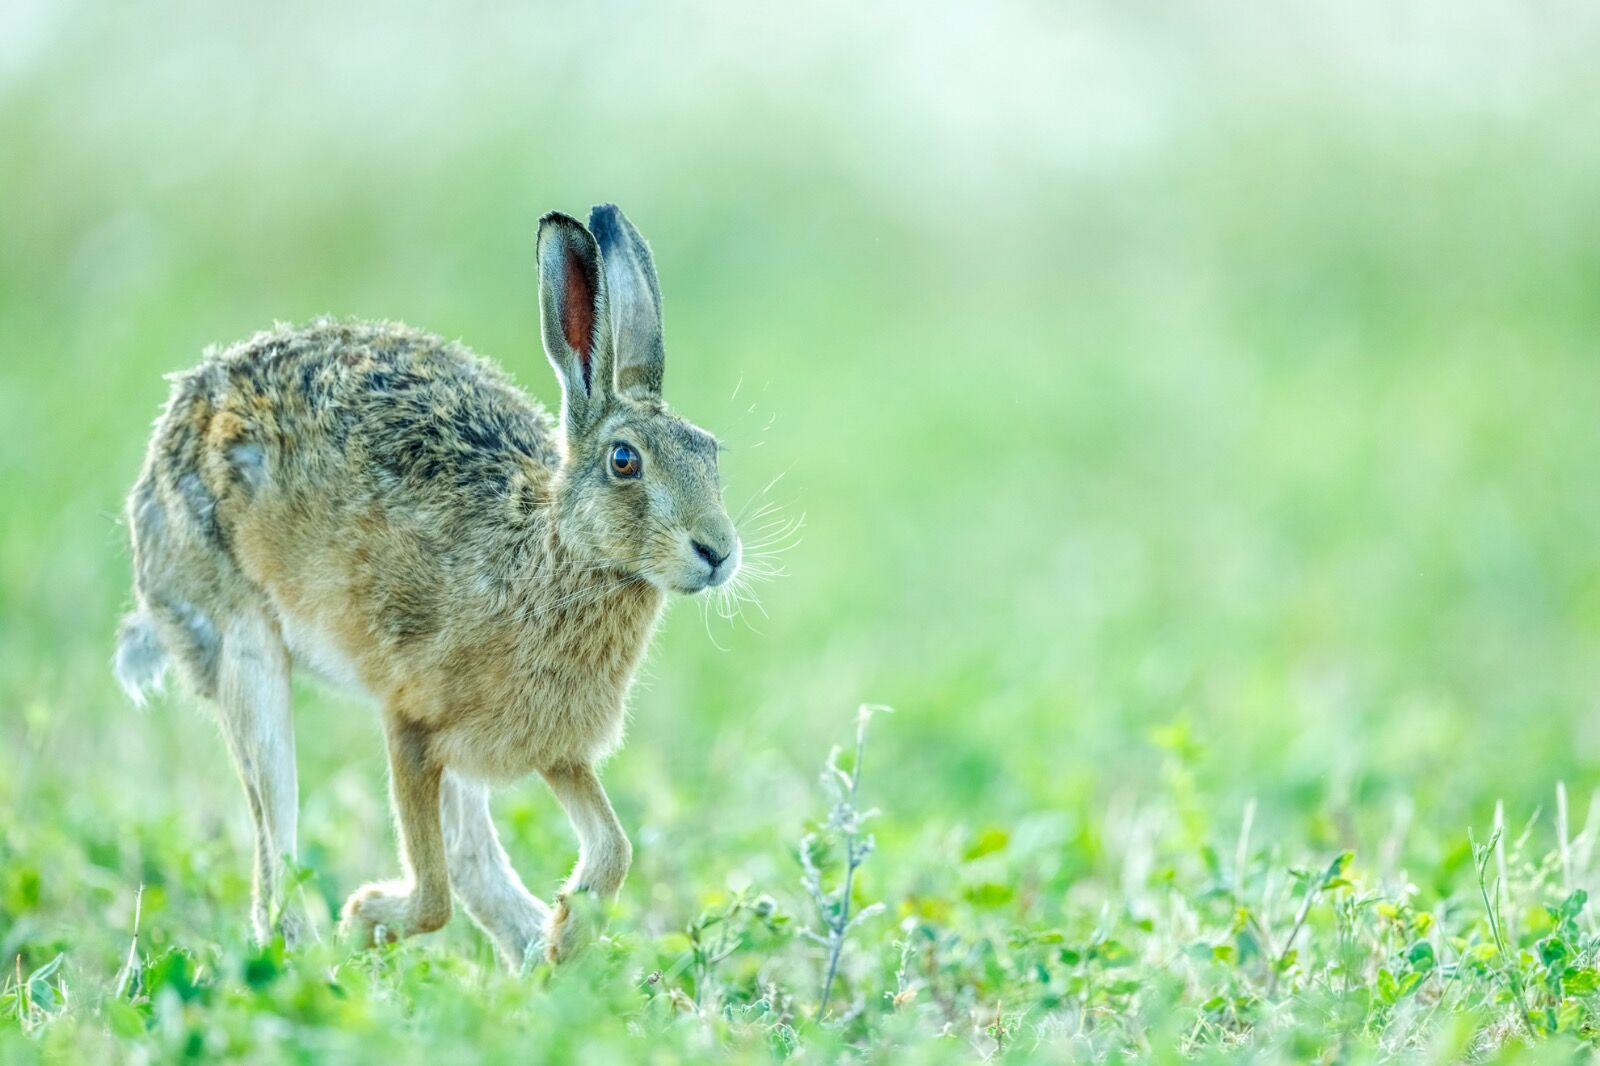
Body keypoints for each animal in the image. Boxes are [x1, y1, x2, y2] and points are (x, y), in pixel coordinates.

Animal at [113, 205, 741, 968]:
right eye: (625, 461)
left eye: (711, 454)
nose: (718, 552)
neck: (551, 554)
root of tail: (164, 450)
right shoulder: (410, 726)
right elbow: (435, 892)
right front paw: (364, 918)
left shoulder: (550, 746)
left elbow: (613, 847)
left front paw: (567, 930)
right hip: (243, 646)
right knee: (277, 855)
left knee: (472, 859)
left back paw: (540, 955)